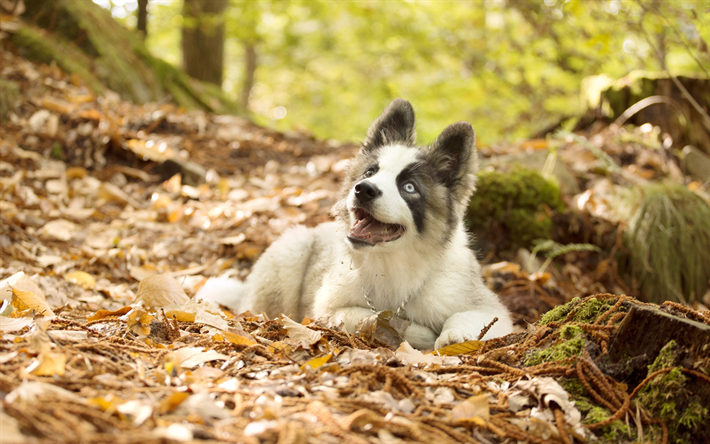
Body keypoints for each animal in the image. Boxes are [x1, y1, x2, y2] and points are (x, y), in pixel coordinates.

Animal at [197, 98, 516, 350]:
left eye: (409, 188)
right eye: (370, 172)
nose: (363, 190)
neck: (393, 263)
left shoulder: (490, 308)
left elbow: (471, 315)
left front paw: (455, 335)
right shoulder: (328, 309)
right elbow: (369, 316)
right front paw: (420, 333)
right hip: (292, 249)